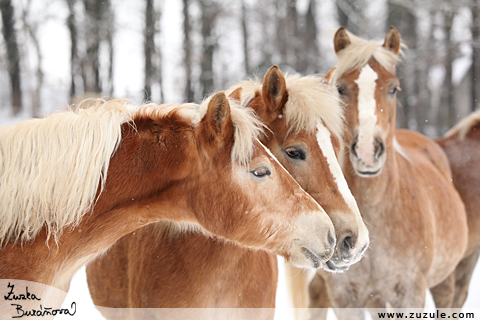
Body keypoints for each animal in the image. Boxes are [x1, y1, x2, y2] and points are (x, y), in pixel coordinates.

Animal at [294, 28, 466, 320]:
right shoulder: (345, 298)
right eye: (341, 88)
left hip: (444, 281)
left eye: (393, 88)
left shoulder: (410, 294)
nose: (366, 151)